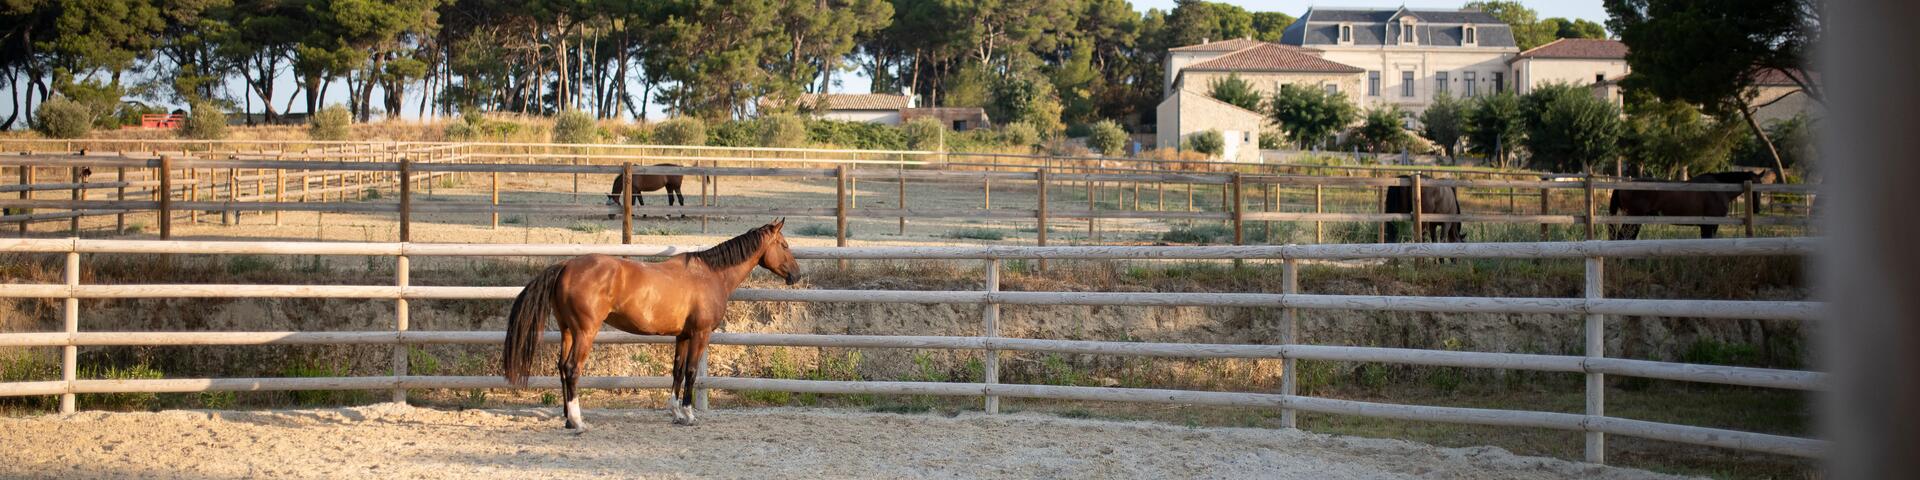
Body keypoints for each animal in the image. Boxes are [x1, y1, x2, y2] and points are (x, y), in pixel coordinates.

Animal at [503, 219, 802, 430]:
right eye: (785, 245)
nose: (796, 275)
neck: (710, 274)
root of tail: (565, 265)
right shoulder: (700, 334)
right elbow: (691, 371)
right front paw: (689, 414)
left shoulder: (683, 336)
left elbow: (677, 371)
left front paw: (676, 413)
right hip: (585, 332)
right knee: (572, 369)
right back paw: (578, 422)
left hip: (567, 330)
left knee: (562, 368)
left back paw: (567, 418)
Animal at [1605, 170, 1781, 241]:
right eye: (1755, 189)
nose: (1757, 208)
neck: (1720, 189)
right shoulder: (1710, 224)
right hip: (1633, 219)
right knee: (1623, 237)